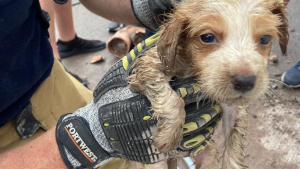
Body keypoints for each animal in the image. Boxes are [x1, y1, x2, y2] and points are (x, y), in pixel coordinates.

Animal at [127, 0, 290, 168]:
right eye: (207, 37)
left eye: (265, 39)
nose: (245, 82)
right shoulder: (149, 64)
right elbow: (171, 99)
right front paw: (168, 136)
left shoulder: (233, 109)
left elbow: (235, 143)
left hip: (207, 154)